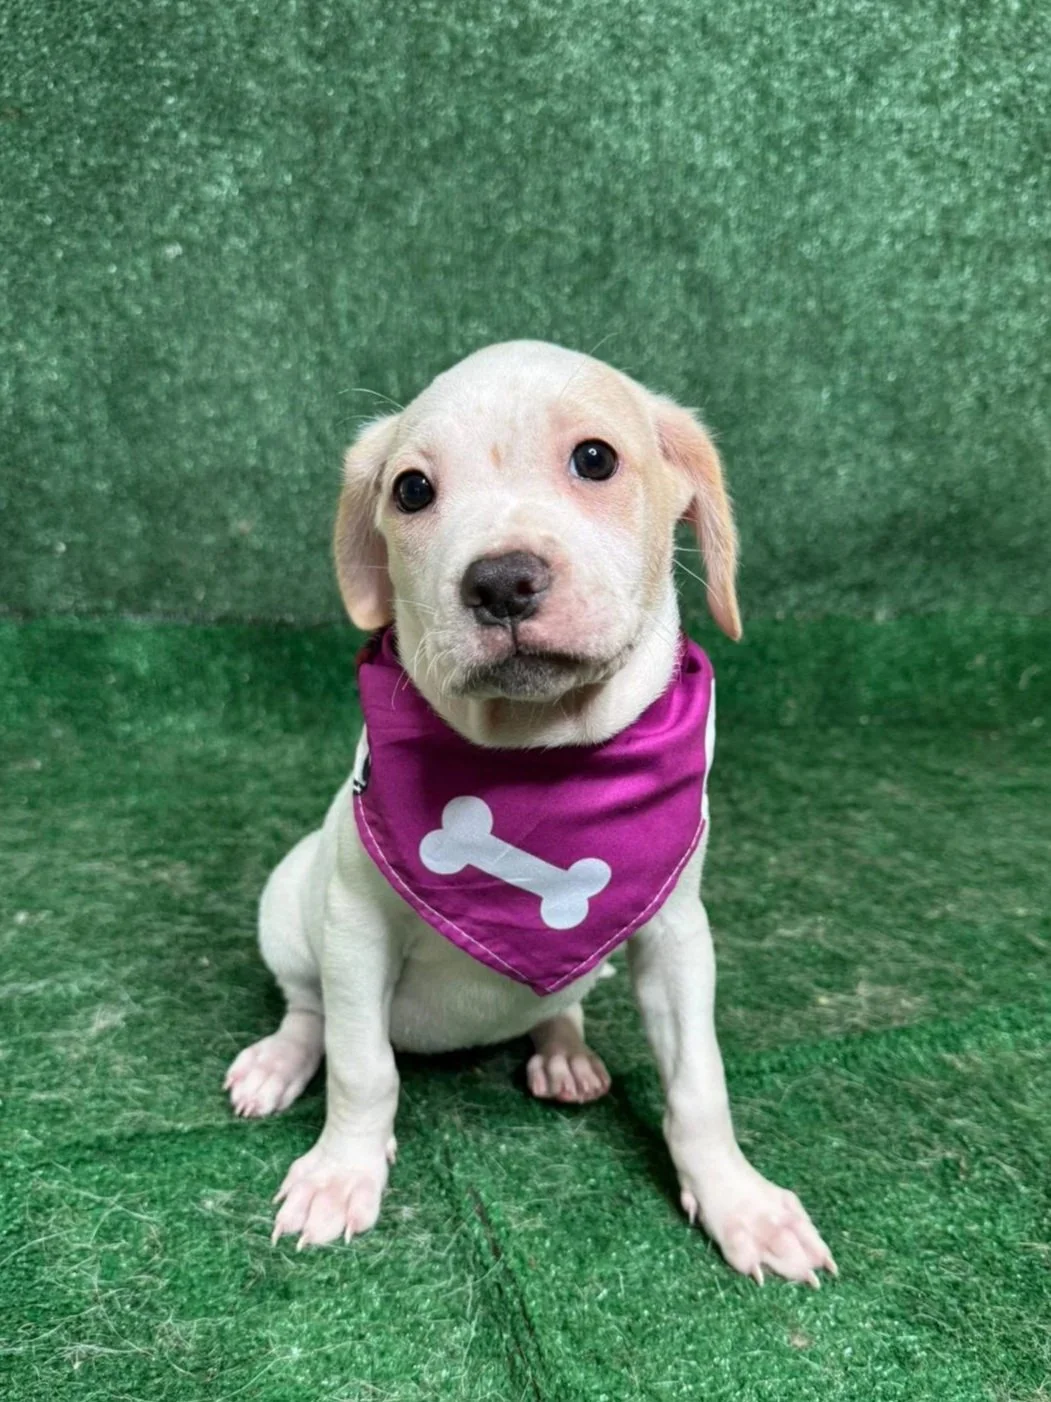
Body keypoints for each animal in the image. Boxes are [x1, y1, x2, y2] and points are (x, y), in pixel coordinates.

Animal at [224, 340, 836, 1286]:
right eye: (411, 490)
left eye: (594, 459)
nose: (501, 582)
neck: (536, 756)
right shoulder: (355, 928)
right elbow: (363, 1067)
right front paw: (340, 1174)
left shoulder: (676, 936)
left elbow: (698, 1082)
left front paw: (738, 1202)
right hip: (290, 907)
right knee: (310, 1010)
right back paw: (281, 1060)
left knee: (561, 998)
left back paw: (565, 1051)